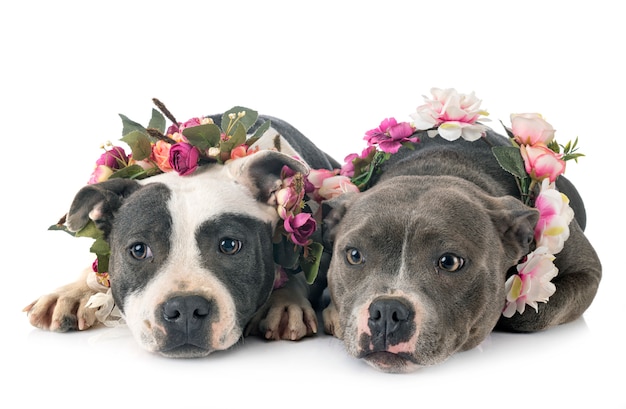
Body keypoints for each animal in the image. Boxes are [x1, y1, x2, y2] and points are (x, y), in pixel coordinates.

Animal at [322, 127, 600, 372]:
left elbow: (529, 315)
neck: (437, 168)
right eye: (354, 255)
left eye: (449, 262)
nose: (388, 310)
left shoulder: (589, 272)